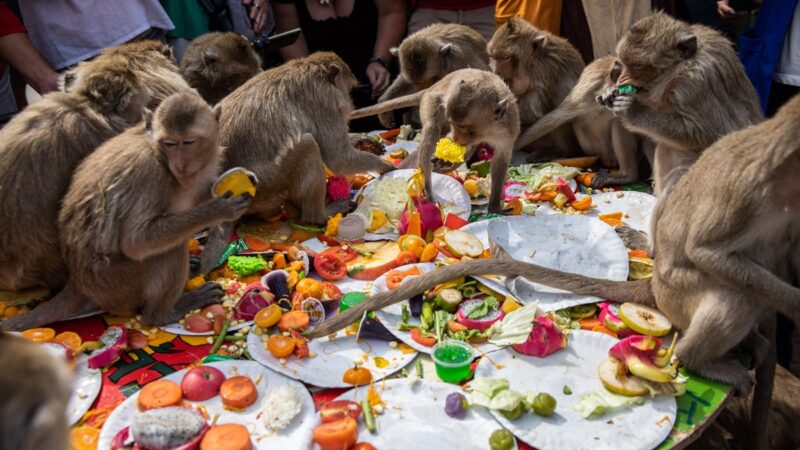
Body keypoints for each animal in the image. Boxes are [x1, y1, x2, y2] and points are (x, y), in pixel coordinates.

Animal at [0, 91, 250, 330]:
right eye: (169, 143)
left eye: (188, 142)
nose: (180, 164)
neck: (159, 155)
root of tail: (77, 283)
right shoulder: (150, 176)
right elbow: (136, 242)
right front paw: (218, 209)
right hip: (117, 285)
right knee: (168, 249)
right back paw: (162, 314)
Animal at [350, 67, 520, 214]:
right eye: (453, 124)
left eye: (465, 128)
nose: (457, 137)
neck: (489, 130)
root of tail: (432, 86)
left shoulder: (509, 128)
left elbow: (500, 160)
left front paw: (494, 207)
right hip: (429, 100)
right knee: (432, 129)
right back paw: (427, 187)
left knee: (465, 150)